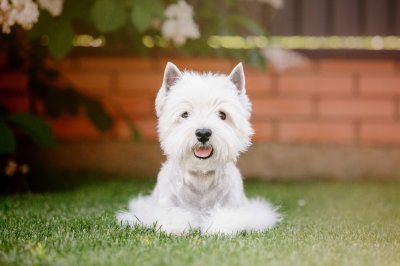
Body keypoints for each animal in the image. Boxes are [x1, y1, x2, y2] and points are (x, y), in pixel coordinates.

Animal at [115, 62, 280, 235]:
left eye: (222, 115)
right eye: (185, 114)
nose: (203, 133)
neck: (201, 177)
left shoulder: (236, 207)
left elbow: (227, 216)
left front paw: (217, 228)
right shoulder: (163, 207)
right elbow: (172, 215)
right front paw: (177, 228)